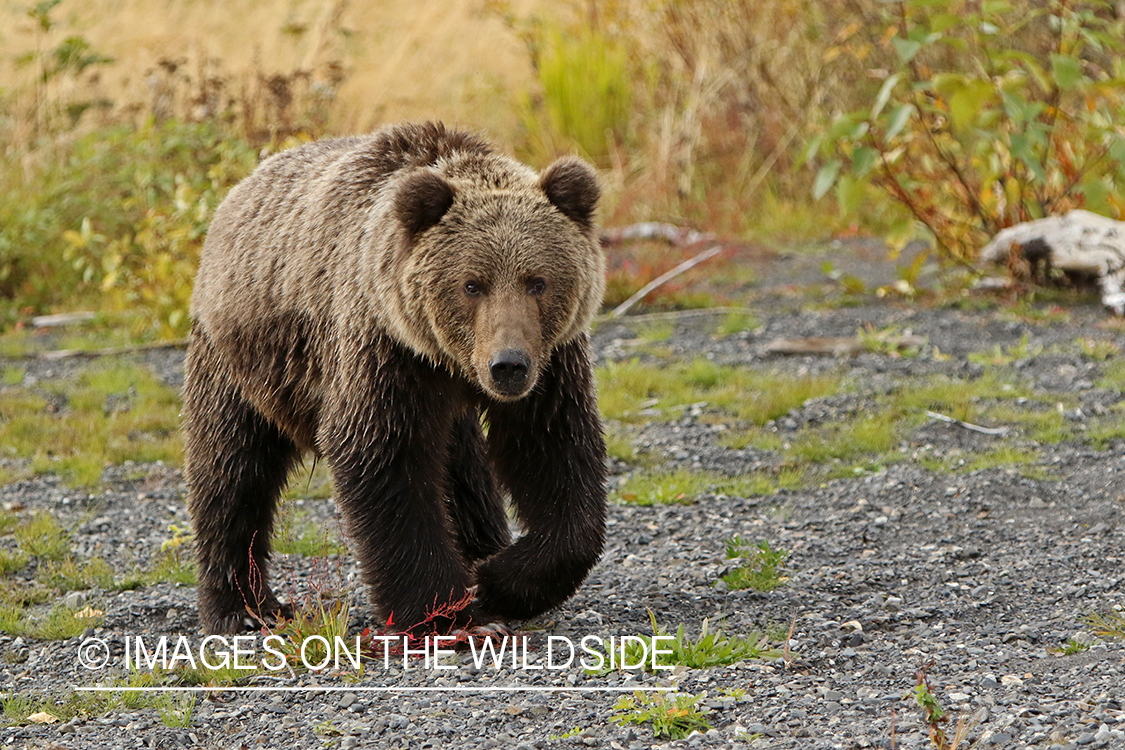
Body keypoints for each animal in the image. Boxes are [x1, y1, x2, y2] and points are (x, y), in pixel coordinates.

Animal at [183, 121, 608, 636]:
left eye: (537, 281)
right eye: (472, 284)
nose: (508, 364)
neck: (449, 362)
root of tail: (238, 190)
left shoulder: (551, 366)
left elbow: (554, 453)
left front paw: (499, 579)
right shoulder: (385, 352)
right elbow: (385, 462)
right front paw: (450, 615)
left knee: (463, 473)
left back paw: (481, 549)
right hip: (242, 363)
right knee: (231, 470)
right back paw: (244, 608)